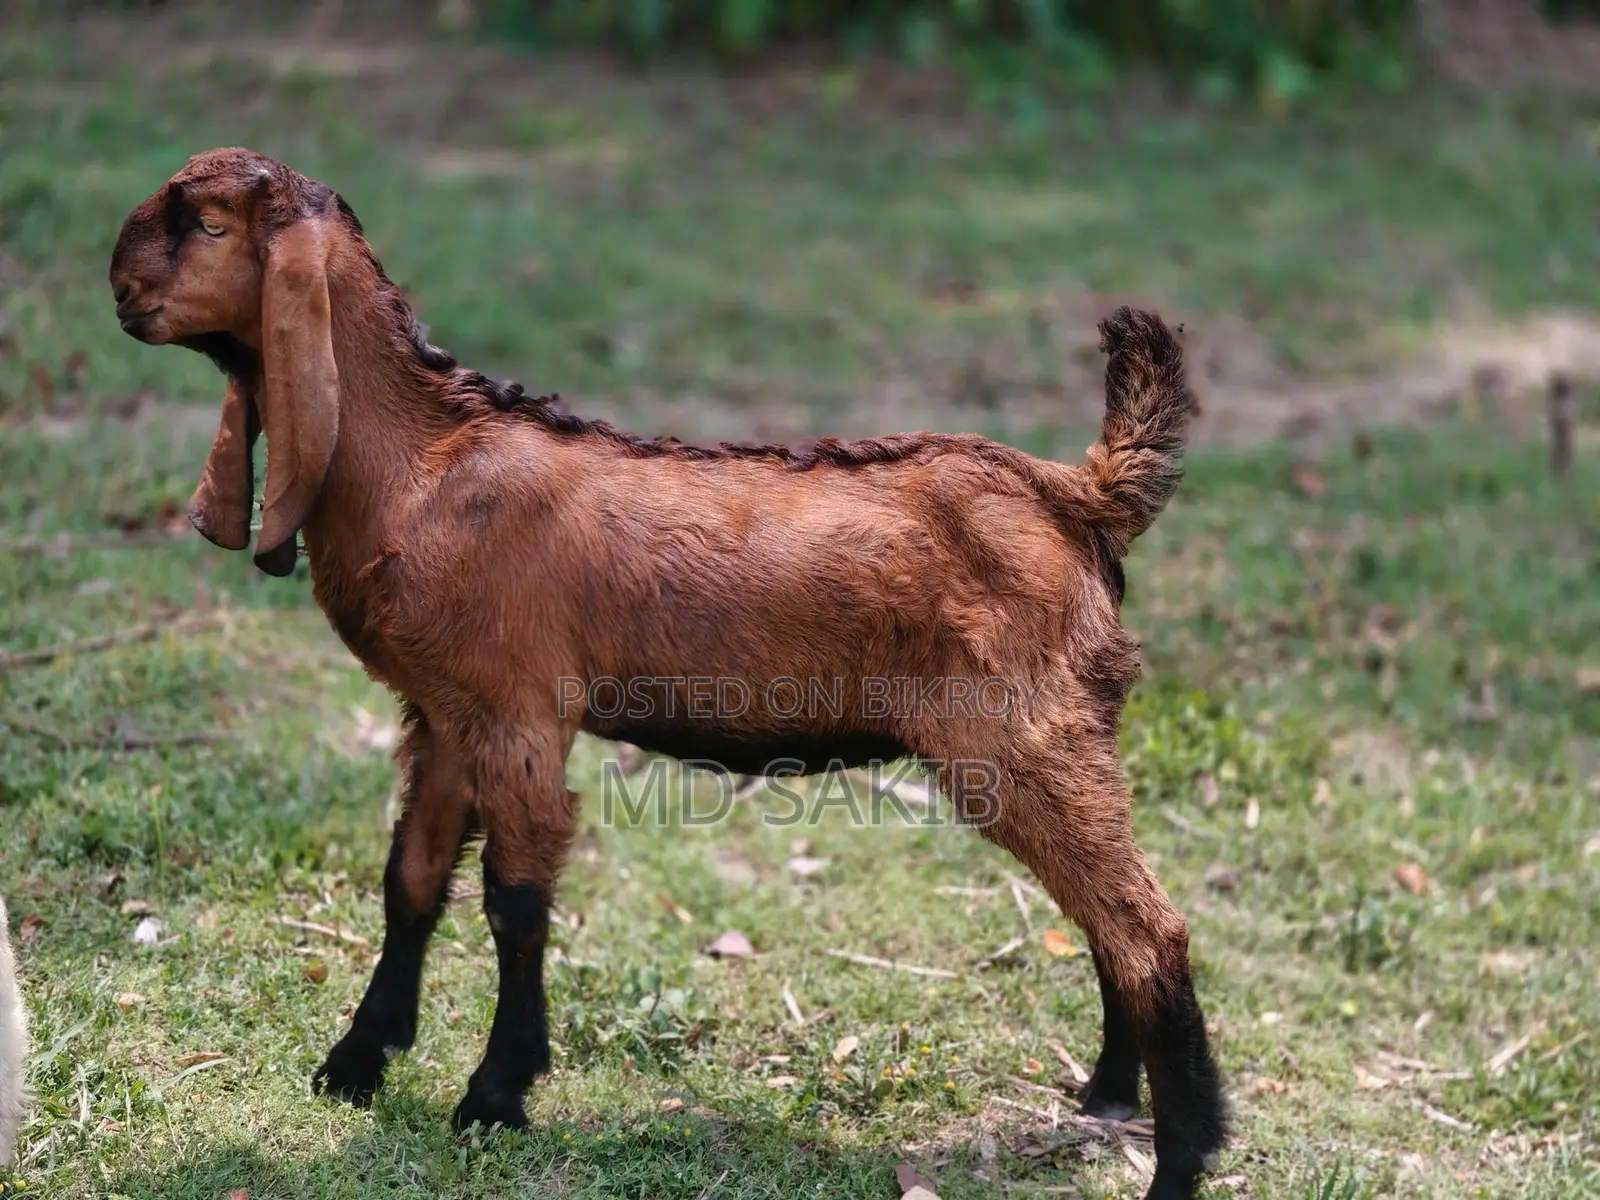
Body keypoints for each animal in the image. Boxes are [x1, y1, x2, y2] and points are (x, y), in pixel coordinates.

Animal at [109, 148, 1225, 1199]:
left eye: (208, 223)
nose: (119, 290)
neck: (424, 462)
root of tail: (1076, 494)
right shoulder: (443, 711)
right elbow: (411, 878)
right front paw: (355, 1064)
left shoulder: (519, 707)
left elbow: (515, 898)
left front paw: (494, 1096)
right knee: (1107, 918)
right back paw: (1107, 1098)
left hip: (1022, 733)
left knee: (1148, 927)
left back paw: (1180, 1160)